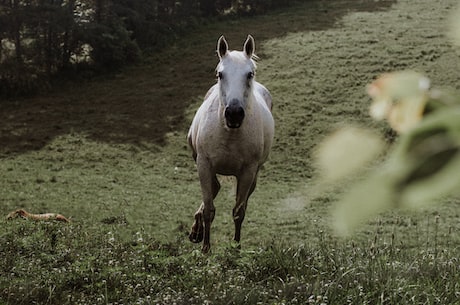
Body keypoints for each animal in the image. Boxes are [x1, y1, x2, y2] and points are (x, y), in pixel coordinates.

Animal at [186, 35, 274, 252]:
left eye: (250, 74)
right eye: (220, 74)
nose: (234, 113)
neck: (229, 133)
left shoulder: (248, 172)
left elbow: (238, 212)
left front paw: (236, 246)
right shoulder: (204, 164)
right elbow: (209, 210)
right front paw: (205, 248)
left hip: (254, 174)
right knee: (214, 188)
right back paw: (196, 231)